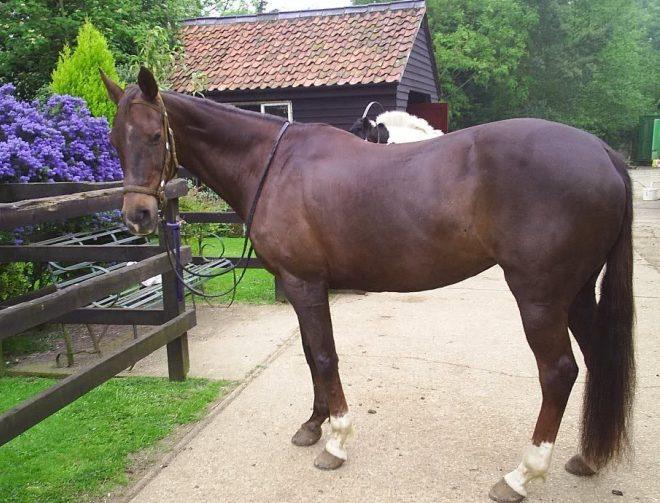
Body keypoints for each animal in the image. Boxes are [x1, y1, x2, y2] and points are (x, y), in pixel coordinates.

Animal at [101, 67, 634, 503]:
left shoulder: (305, 283)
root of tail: (604, 154)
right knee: (598, 358)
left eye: (155, 135)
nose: (137, 216)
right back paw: (587, 458)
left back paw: (521, 476)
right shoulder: (302, 286)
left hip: (540, 298)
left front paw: (336, 441)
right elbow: (310, 353)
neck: (275, 165)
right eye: (113, 140)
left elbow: (323, 356)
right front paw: (313, 425)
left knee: (559, 373)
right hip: (577, 294)